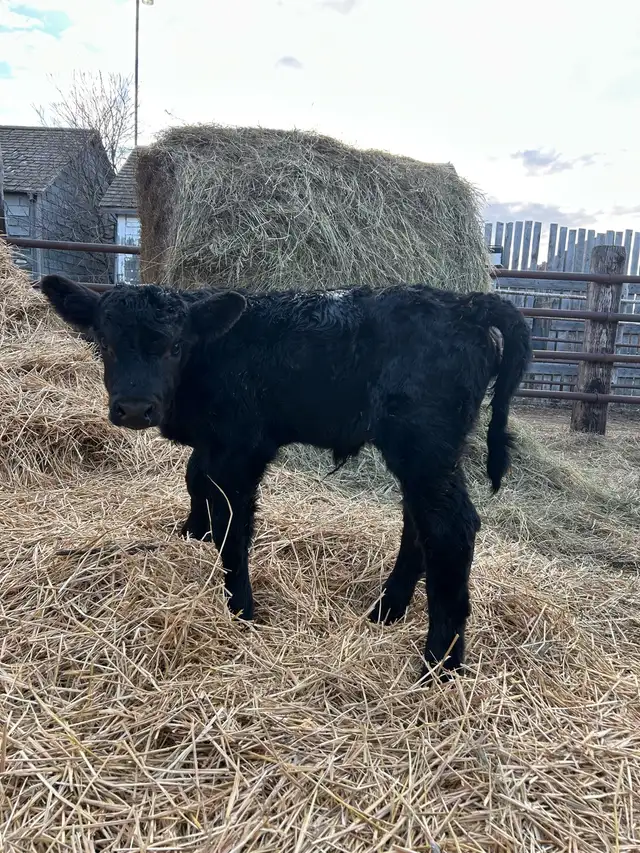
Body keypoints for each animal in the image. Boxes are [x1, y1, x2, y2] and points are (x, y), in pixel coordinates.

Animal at [39, 274, 531, 679]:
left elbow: (233, 525)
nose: (135, 408)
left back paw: (439, 666)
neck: (210, 355)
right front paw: (191, 534)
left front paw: (240, 608)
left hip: (424, 444)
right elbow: (195, 480)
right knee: (419, 523)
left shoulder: (242, 447)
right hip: (424, 454)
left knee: (450, 530)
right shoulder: (211, 444)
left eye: (175, 346)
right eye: (105, 342)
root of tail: (466, 302)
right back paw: (386, 611)